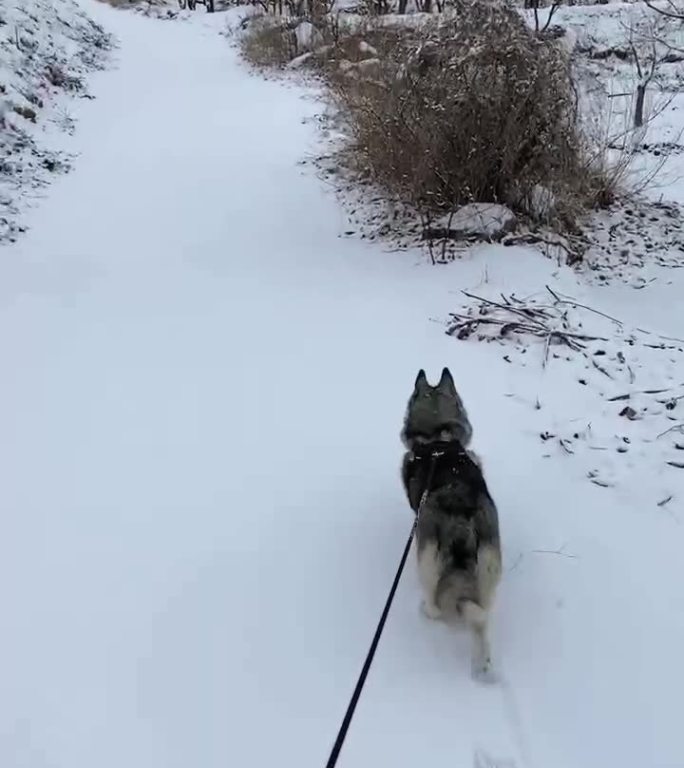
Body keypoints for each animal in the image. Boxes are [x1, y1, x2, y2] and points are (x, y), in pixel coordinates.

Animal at [400, 368, 502, 680]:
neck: (437, 438)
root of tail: (461, 523)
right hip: (490, 565)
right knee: (482, 616)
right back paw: (483, 666)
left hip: (427, 561)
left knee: (435, 601)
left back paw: (426, 611)